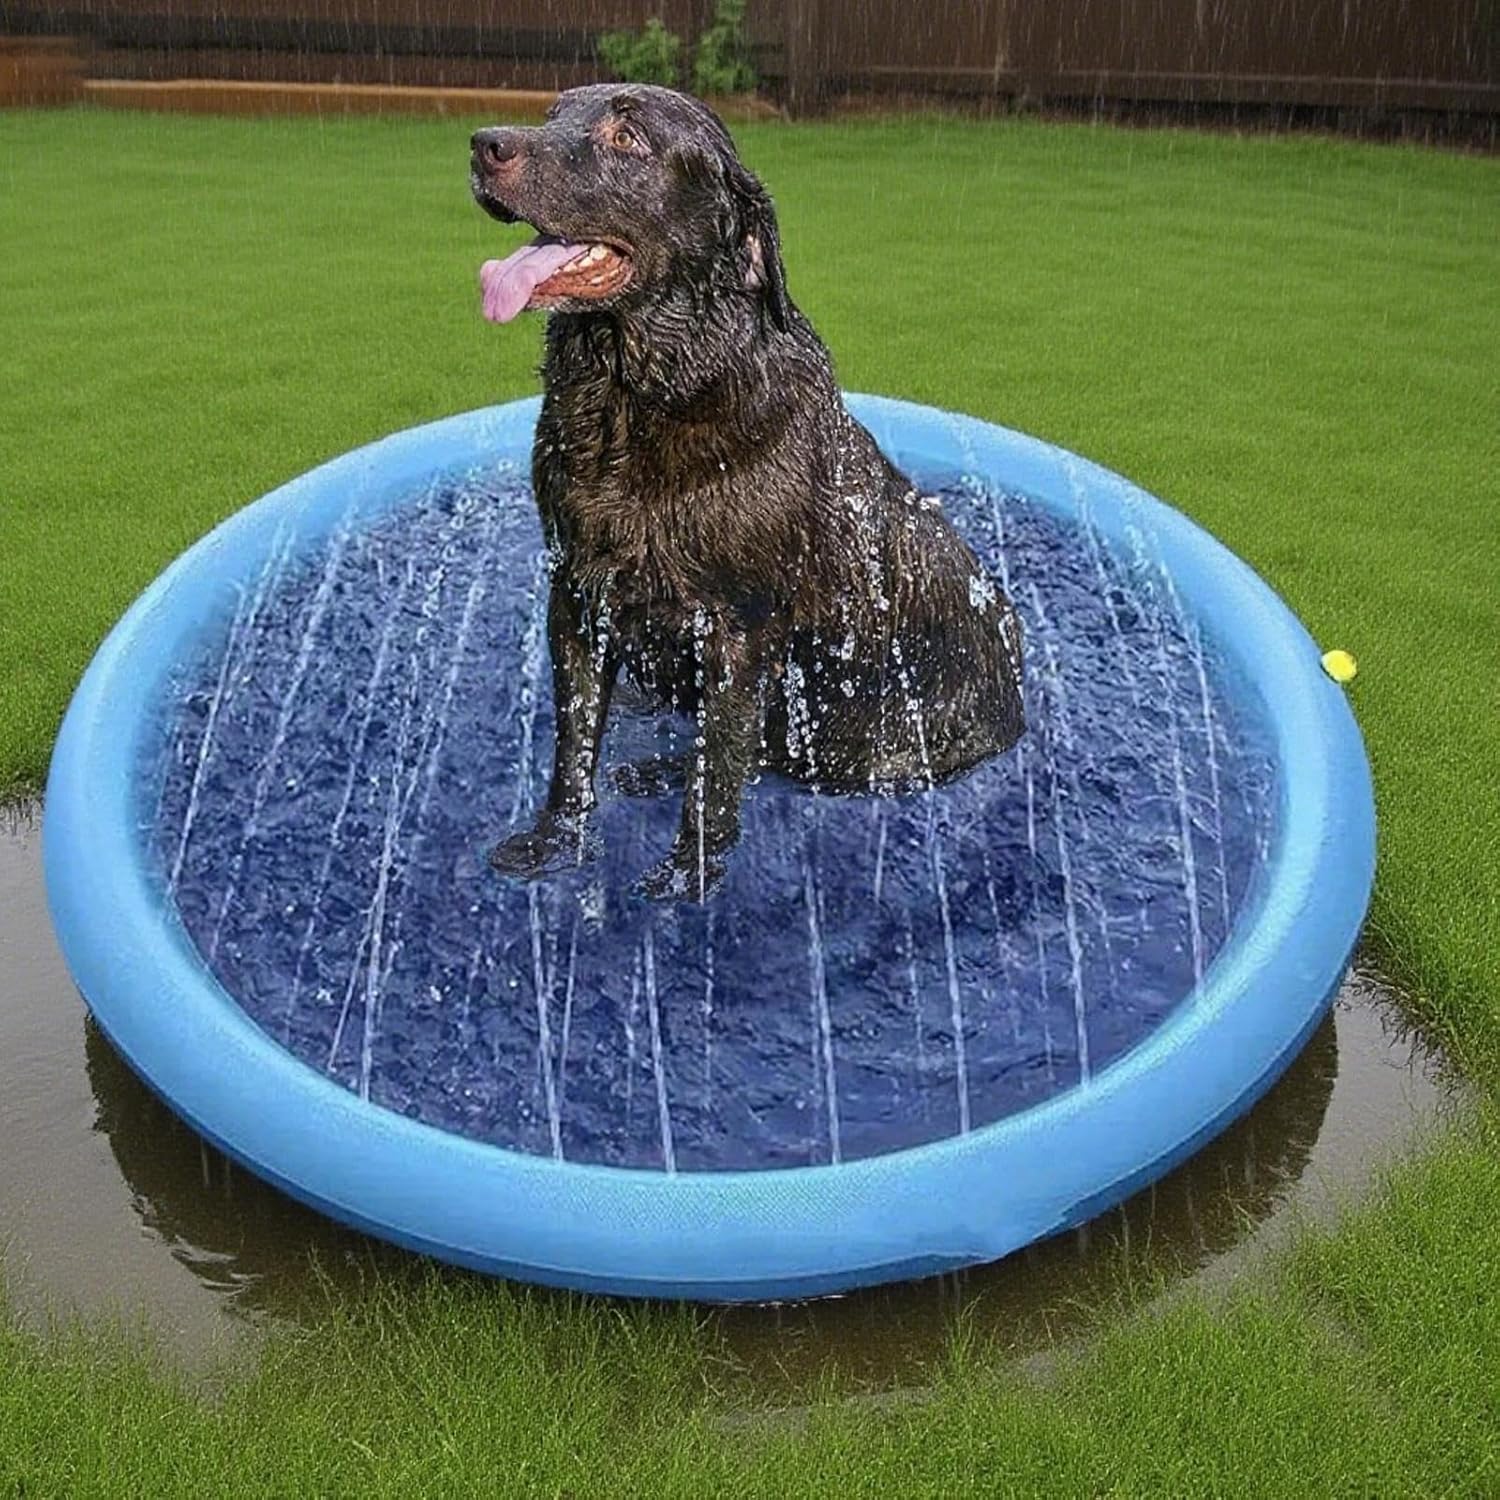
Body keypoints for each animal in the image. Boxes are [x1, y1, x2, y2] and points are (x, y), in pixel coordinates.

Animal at [470, 85, 1024, 899]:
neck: (637, 398)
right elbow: (575, 743)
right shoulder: (575, 592)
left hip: (866, 743)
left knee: (763, 752)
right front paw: (557, 840)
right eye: (553, 114)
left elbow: (720, 765)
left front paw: (687, 877)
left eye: (627, 137)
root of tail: (1021, 707)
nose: (485, 144)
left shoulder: (740, 629)